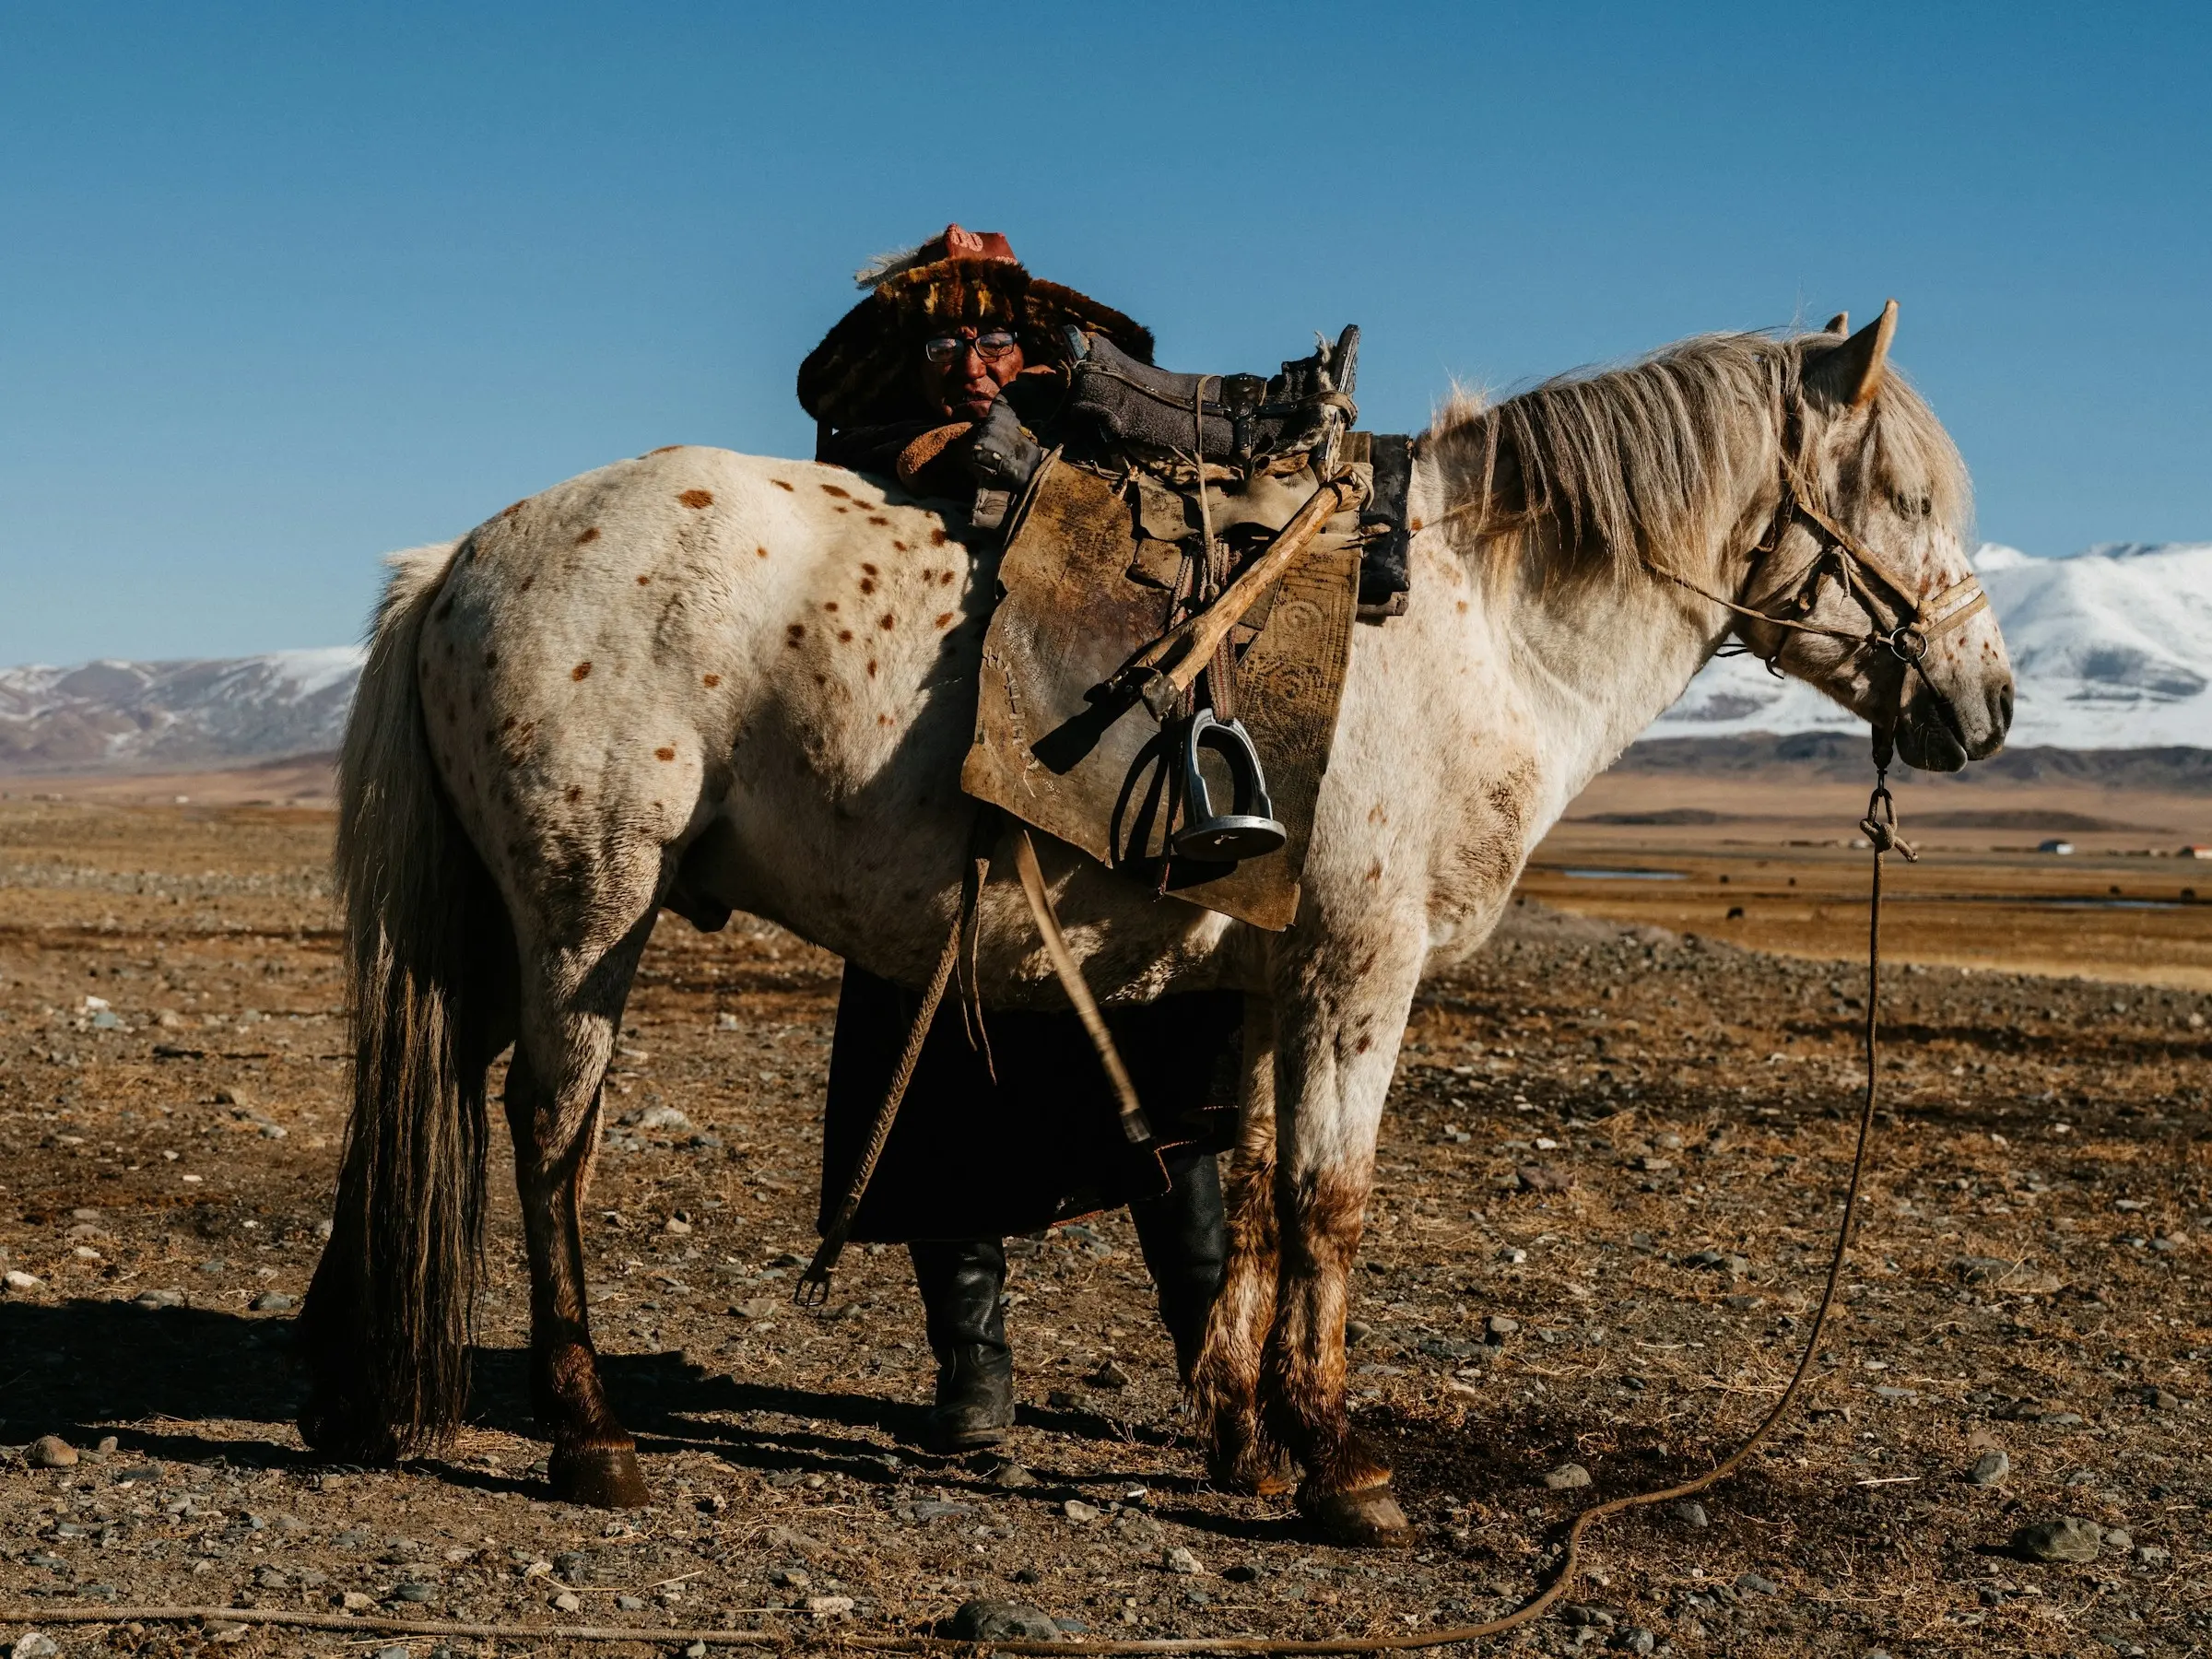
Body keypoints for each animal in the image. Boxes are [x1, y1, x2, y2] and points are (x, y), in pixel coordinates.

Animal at [302, 310, 2017, 1548]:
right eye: (1911, 499)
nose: (1989, 708)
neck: (1480, 622)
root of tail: (458, 559)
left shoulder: (1262, 982)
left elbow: (1248, 1197)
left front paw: (1248, 1445)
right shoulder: (1358, 974)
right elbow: (1333, 1203)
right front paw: (1344, 1470)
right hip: (589, 904)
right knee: (551, 1137)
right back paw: (588, 1436)